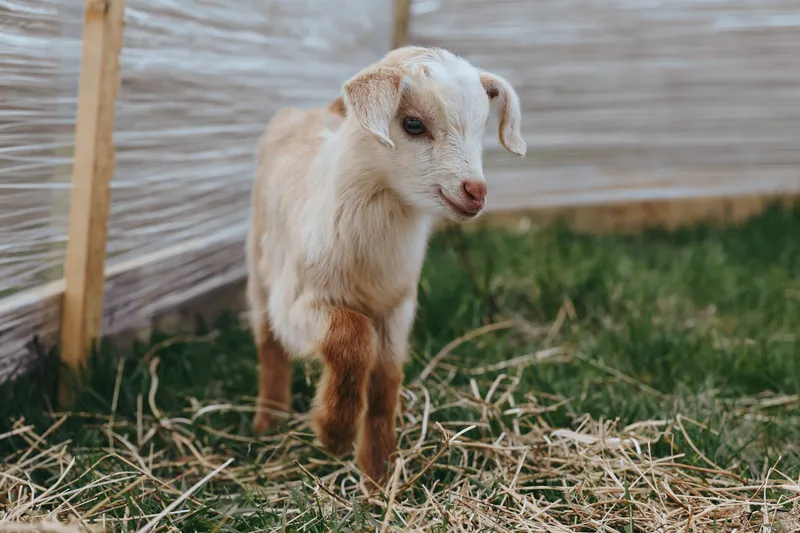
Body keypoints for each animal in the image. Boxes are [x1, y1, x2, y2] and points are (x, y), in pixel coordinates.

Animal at [245, 45, 526, 486]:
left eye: (482, 126)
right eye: (413, 124)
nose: (475, 192)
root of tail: (306, 112)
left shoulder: (398, 307)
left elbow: (385, 380)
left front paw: (378, 471)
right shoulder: (297, 302)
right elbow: (351, 336)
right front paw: (334, 432)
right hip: (260, 270)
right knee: (269, 343)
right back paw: (268, 420)